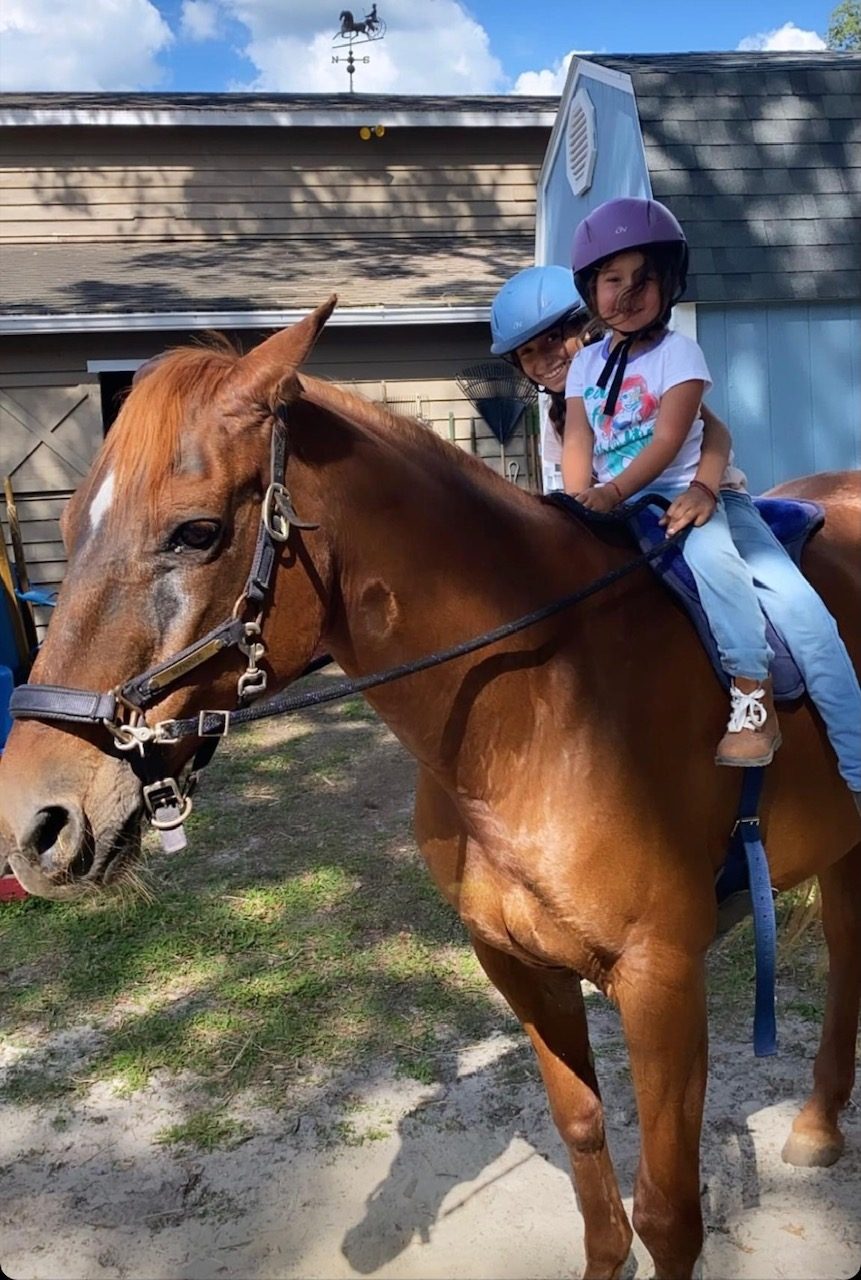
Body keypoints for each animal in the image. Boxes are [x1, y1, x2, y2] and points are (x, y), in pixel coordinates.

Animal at [1, 298, 859, 1279]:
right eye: (68, 526)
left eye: (196, 532)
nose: (34, 823)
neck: (543, 713)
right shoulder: (516, 963)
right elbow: (581, 1132)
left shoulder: (662, 982)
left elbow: (671, 1208)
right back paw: (819, 1122)